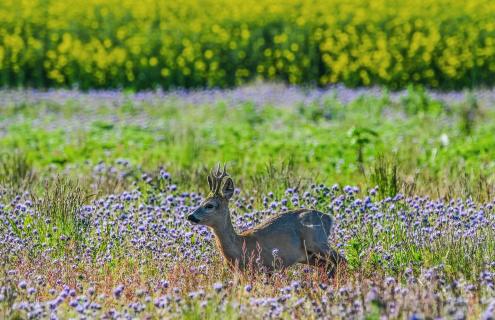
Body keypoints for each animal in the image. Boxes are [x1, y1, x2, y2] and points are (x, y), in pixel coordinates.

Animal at [188, 165, 346, 276]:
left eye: (210, 205)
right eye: (201, 201)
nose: (190, 216)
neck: (241, 246)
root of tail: (328, 218)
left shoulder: (266, 266)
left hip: (318, 241)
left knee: (342, 261)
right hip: (308, 255)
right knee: (329, 266)